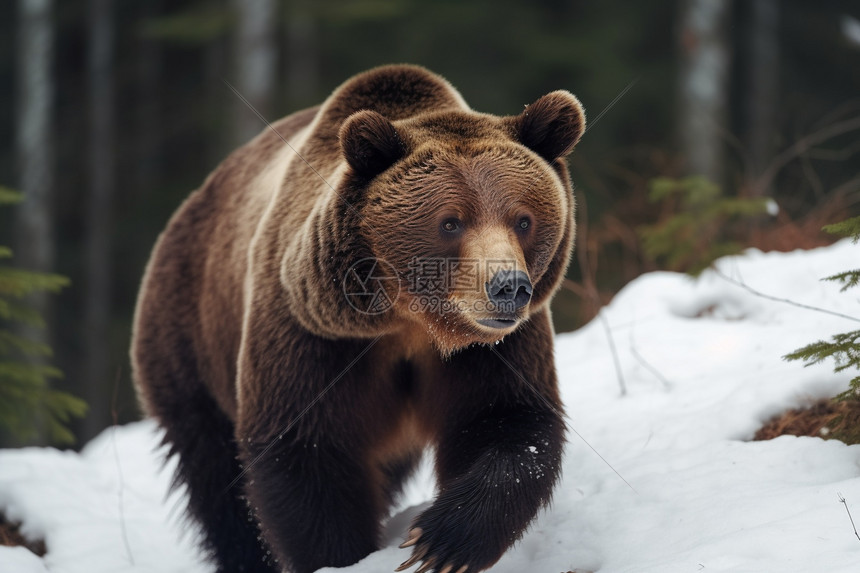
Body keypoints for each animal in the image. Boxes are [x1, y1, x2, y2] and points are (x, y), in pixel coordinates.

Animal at [133, 65, 584, 572]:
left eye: (523, 219)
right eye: (451, 221)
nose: (508, 287)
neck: (410, 322)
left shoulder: (495, 349)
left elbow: (507, 422)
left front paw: (440, 540)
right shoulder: (313, 335)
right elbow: (307, 456)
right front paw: (342, 554)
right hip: (188, 338)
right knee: (214, 473)